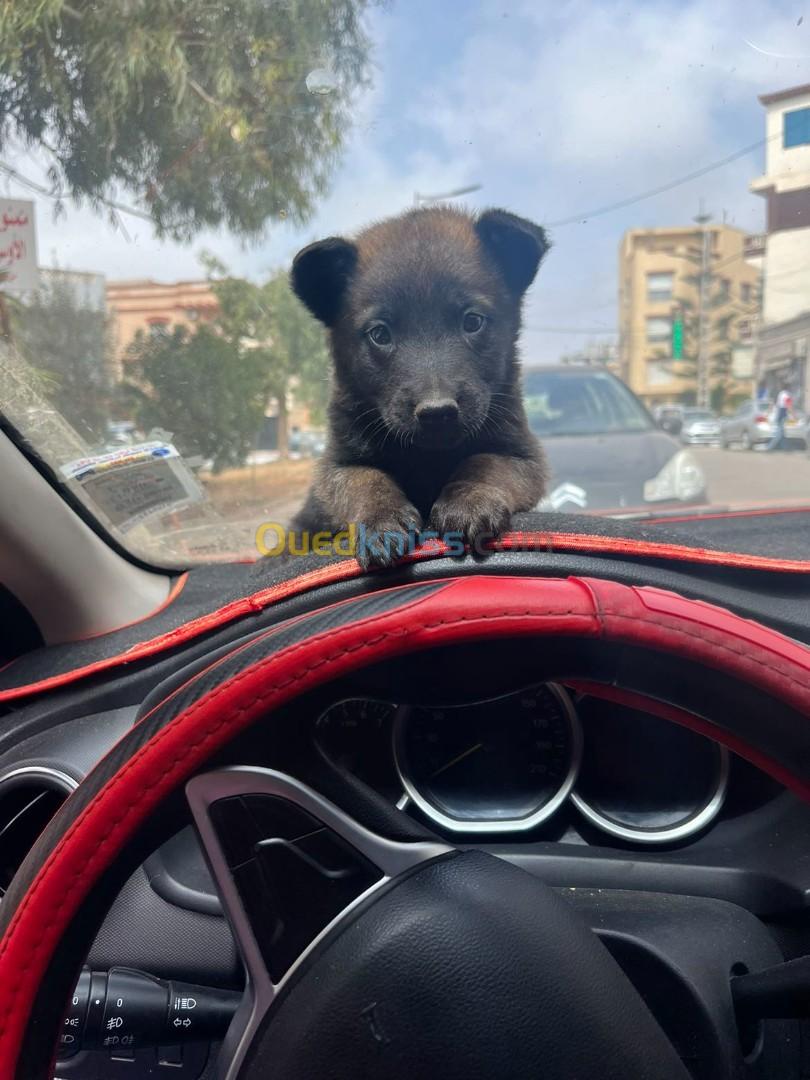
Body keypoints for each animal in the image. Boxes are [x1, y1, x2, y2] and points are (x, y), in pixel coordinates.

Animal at [291, 205, 552, 570]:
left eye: (472, 321)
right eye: (380, 334)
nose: (437, 412)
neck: (428, 455)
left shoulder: (524, 457)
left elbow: (485, 462)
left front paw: (467, 503)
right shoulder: (336, 467)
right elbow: (365, 480)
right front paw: (381, 521)